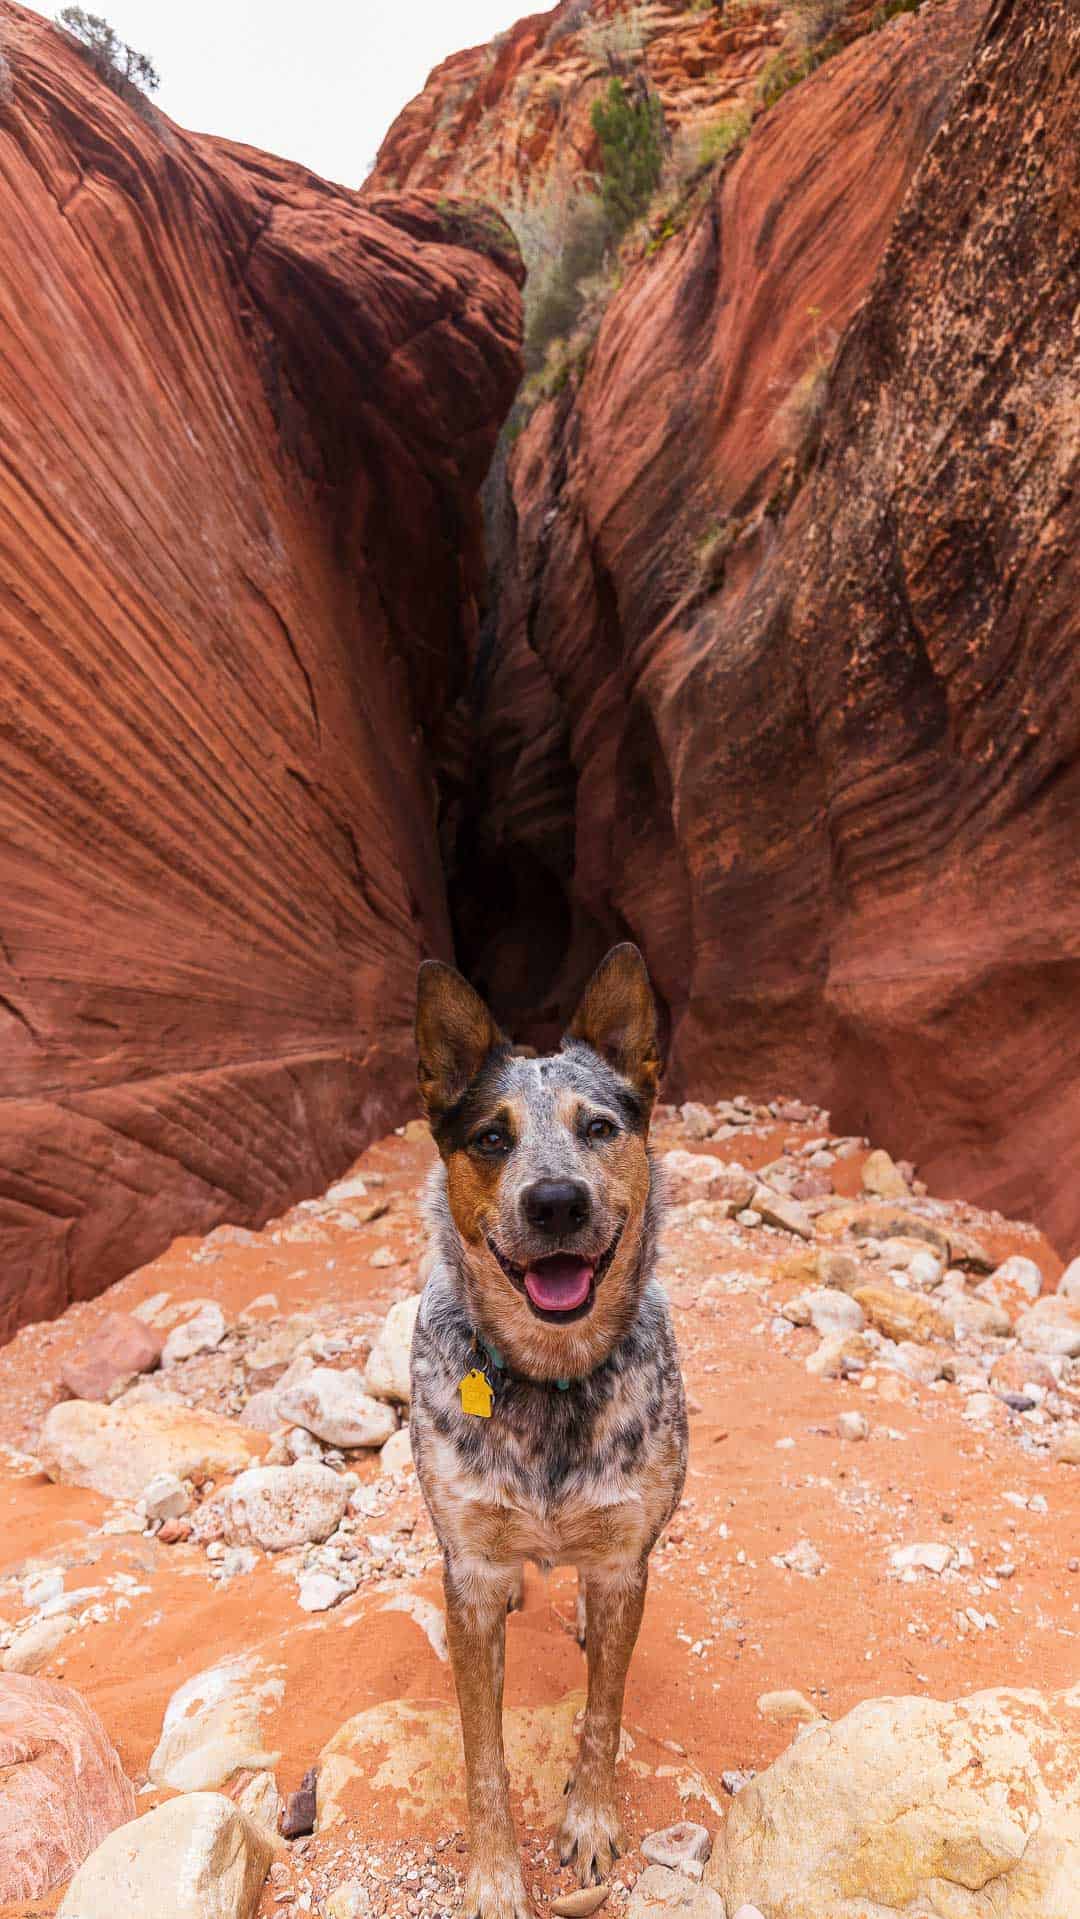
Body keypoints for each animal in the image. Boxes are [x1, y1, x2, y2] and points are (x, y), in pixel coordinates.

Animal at [410, 944, 690, 1919]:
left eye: (599, 1127)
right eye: (492, 1139)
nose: (558, 1201)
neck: (548, 1374)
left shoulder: (621, 1563)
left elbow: (602, 1714)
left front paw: (592, 1823)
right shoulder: (470, 1572)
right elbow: (482, 1755)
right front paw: (496, 1879)